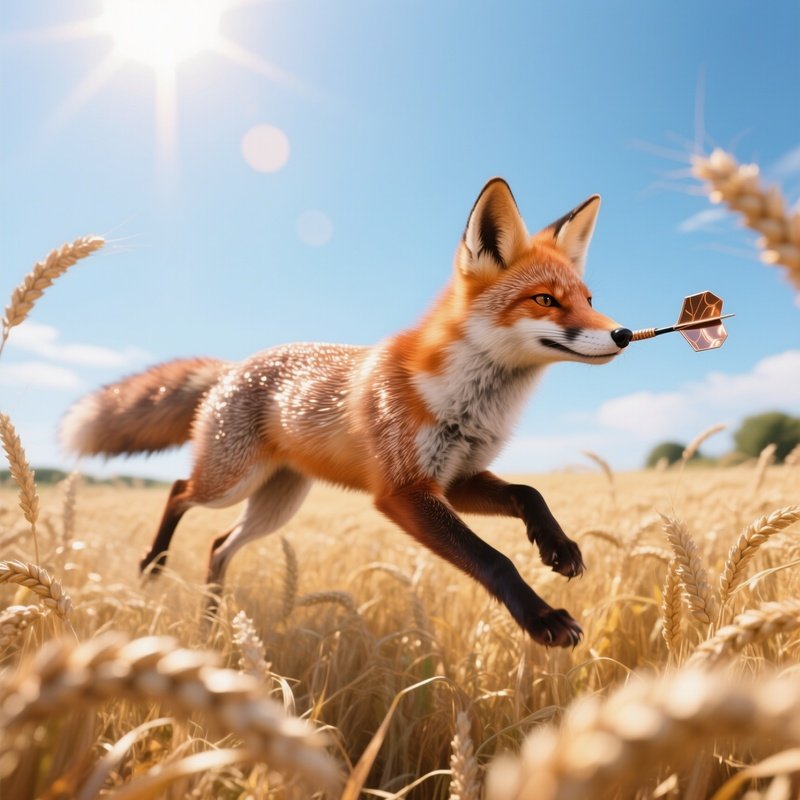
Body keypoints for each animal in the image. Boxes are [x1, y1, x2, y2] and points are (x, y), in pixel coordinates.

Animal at [61, 178, 632, 647]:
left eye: (587, 299)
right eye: (545, 300)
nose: (624, 333)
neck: (471, 404)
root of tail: (237, 365)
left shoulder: (455, 480)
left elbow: (529, 493)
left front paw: (558, 546)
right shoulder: (403, 491)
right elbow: (494, 559)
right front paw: (542, 619)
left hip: (276, 502)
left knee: (219, 546)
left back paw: (210, 626)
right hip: (230, 483)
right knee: (180, 491)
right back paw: (154, 565)